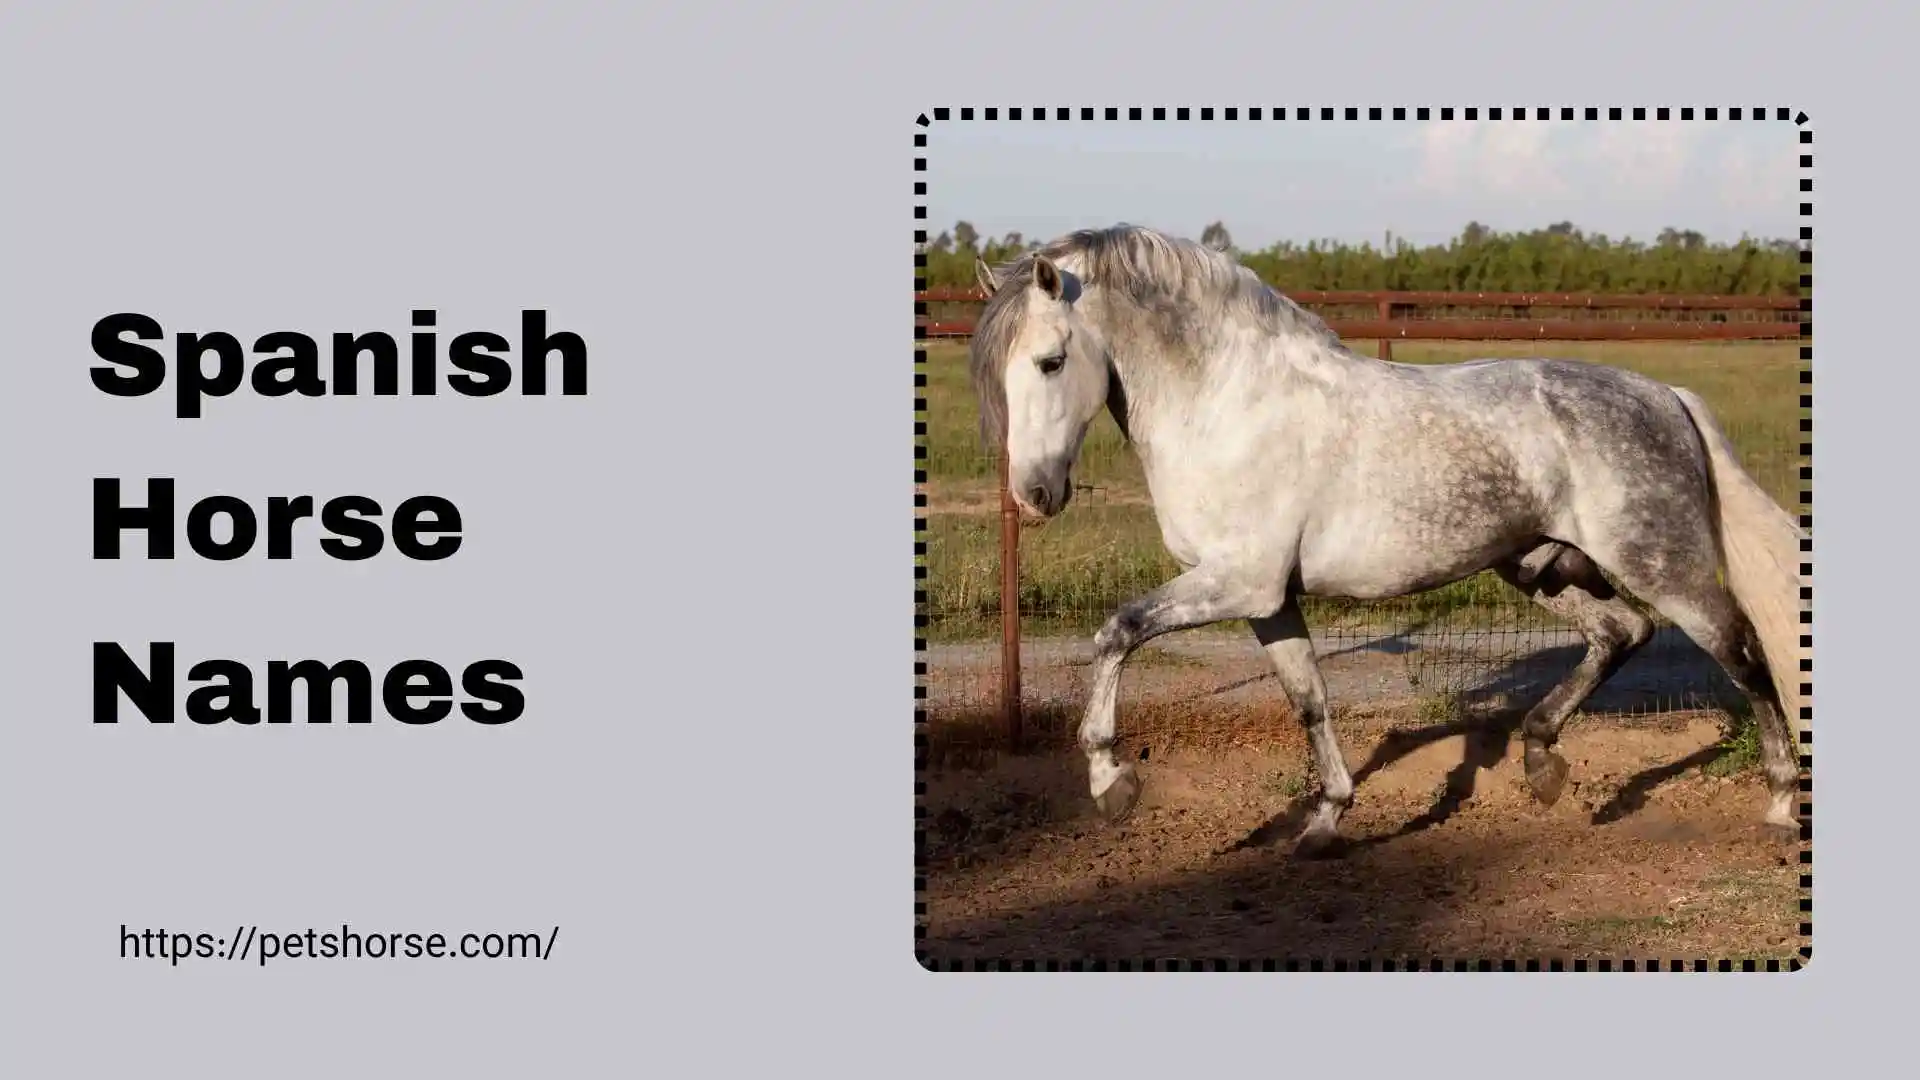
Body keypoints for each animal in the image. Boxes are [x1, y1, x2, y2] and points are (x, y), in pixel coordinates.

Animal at [966, 223, 1807, 857]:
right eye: (1000, 377)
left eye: (1050, 361)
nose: (1034, 496)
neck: (1227, 406)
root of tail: (1667, 395)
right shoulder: (1269, 600)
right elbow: (1309, 700)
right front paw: (1324, 822)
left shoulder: (1237, 579)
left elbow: (1117, 630)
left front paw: (1112, 784)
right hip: (1544, 566)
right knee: (1623, 632)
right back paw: (1542, 764)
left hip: (1660, 563)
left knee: (1740, 651)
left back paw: (1777, 803)